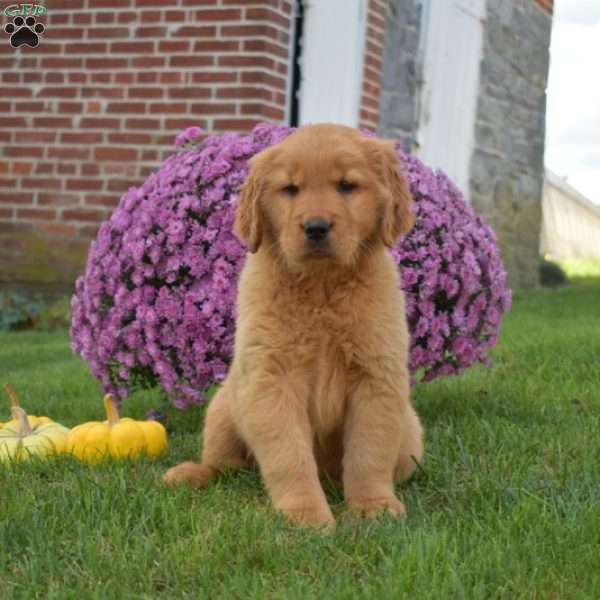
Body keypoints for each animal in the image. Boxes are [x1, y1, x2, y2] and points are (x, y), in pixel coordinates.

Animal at [164, 124, 424, 528]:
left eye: (347, 185)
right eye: (290, 189)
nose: (316, 227)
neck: (322, 286)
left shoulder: (376, 378)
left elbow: (369, 453)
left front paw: (373, 505)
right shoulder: (272, 379)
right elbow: (289, 456)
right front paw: (305, 515)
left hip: (410, 432)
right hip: (223, 409)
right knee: (224, 466)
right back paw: (189, 474)